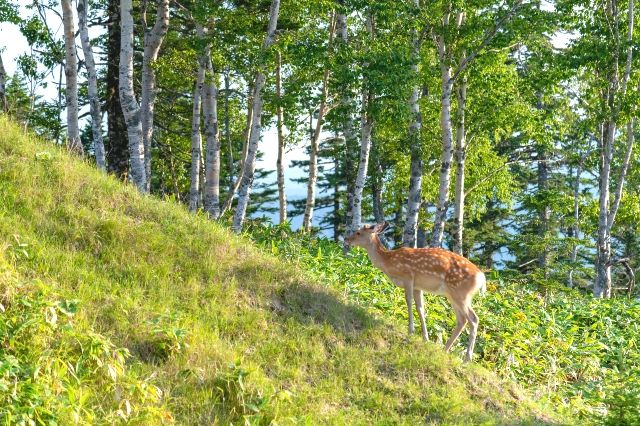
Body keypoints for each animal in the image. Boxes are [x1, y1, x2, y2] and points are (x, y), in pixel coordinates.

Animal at [344, 221, 484, 362]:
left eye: (358, 232)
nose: (346, 239)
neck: (389, 263)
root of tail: (481, 278)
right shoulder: (418, 286)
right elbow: (420, 308)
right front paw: (425, 338)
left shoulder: (408, 277)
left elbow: (408, 302)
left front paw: (410, 330)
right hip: (453, 295)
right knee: (462, 320)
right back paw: (444, 349)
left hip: (461, 294)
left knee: (473, 319)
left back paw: (467, 358)